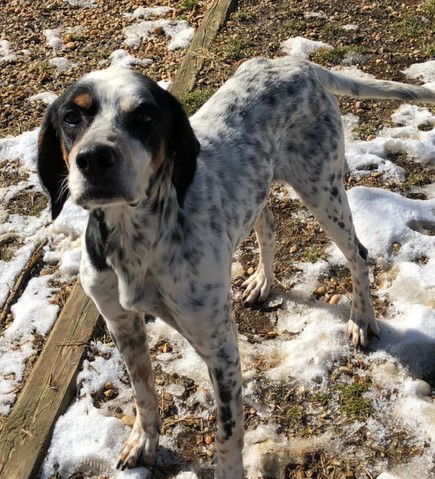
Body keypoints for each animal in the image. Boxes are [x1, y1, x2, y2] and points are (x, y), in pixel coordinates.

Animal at [38, 55, 435, 476]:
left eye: (145, 115)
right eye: (71, 116)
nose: (94, 158)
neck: (136, 240)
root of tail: (298, 62)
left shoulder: (221, 348)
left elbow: (228, 433)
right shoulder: (120, 324)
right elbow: (144, 392)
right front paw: (144, 441)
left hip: (322, 190)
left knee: (358, 254)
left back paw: (361, 319)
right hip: (263, 192)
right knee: (269, 224)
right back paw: (263, 281)